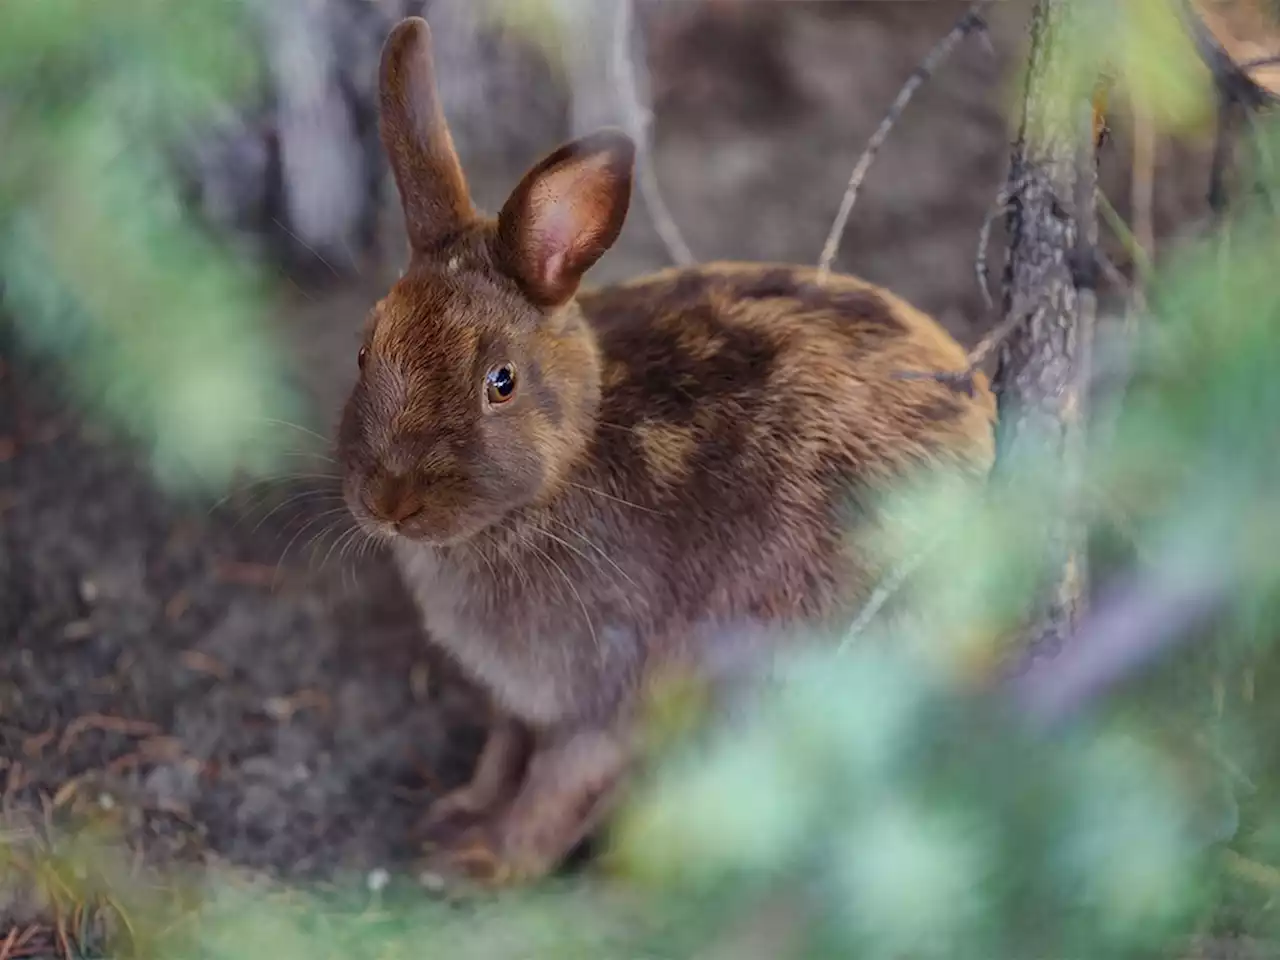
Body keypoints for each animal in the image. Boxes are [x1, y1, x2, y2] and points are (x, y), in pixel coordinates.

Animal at [335, 15, 993, 890]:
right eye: (364, 351)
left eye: (500, 383)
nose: (391, 502)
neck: (561, 474)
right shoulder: (520, 697)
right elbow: (505, 751)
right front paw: (457, 816)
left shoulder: (614, 690)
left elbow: (558, 783)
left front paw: (483, 862)